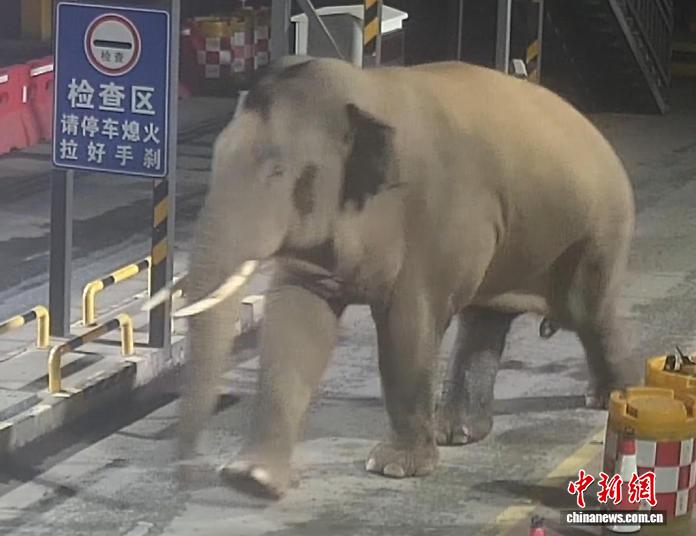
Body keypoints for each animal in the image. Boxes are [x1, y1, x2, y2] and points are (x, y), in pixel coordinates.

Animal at [149, 56, 637, 499]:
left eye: (277, 172)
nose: (183, 470)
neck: (365, 91)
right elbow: (297, 321)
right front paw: (253, 479)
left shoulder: (433, 219)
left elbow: (408, 327)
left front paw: (394, 469)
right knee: (486, 319)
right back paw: (457, 433)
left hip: (594, 232)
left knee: (589, 313)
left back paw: (611, 399)